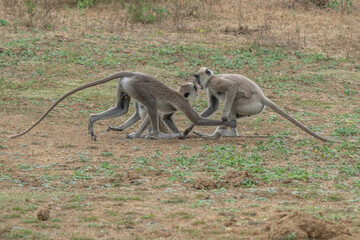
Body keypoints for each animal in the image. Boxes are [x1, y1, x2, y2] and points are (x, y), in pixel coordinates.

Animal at [9, 70, 235, 141]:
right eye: (194, 88)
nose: (198, 88)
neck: (178, 94)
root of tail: (132, 74)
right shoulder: (180, 101)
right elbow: (193, 118)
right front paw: (228, 123)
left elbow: (163, 116)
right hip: (136, 87)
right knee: (150, 104)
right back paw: (156, 135)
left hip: (125, 87)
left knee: (122, 108)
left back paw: (92, 121)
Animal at [184, 66, 336, 142]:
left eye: (197, 77)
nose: (196, 82)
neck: (212, 78)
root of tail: (261, 97)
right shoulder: (210, 88)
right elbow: (213, 107)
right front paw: (190, 126)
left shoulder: (215, 83)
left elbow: (232, 87)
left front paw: (224, 115)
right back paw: (214, 136)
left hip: (250, 104)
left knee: (232, 104)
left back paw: (230, 133)